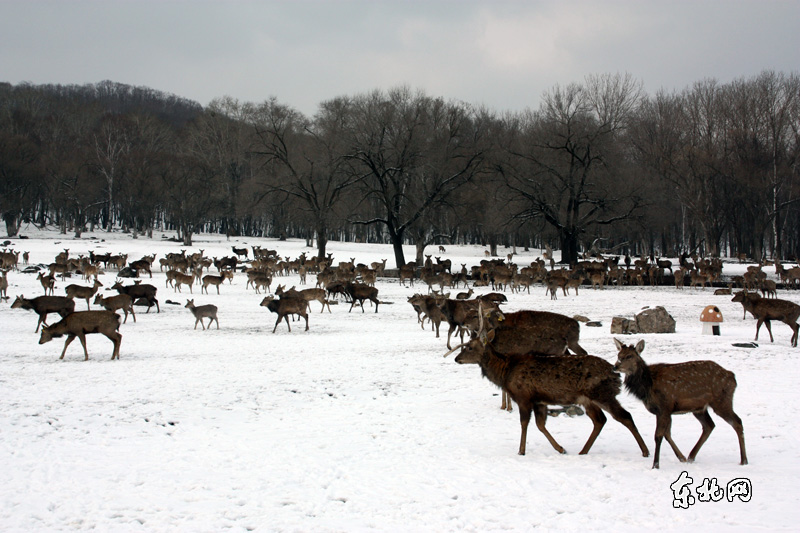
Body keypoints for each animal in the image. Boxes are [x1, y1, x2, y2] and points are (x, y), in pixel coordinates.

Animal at [446, 308, 652, 458]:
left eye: (469, 347)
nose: (456, 358)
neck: (505, 372)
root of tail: (615, 374)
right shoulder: (540, 401)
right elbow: (541, 425)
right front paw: (560, 448)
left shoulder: (524, 396)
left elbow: (524, 423)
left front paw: (521, 450)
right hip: (587, 399)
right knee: (600, 420)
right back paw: (583, 451)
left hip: (603, 393)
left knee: (624, 416)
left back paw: (645, 451)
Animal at [612, 338, 752, 468]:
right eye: (619, 355)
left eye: (630, 356)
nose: (615, 366)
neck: (648, 386)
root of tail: (732, 377)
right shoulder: (665, 411)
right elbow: (667, 434)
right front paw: (681, 458)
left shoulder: (664, 406)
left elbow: (658, 435)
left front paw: (655, 465)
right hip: (699, 408)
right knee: (709, 425)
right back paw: (691, 456)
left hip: (722, 401)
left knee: (737, 421)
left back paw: (744, 460)